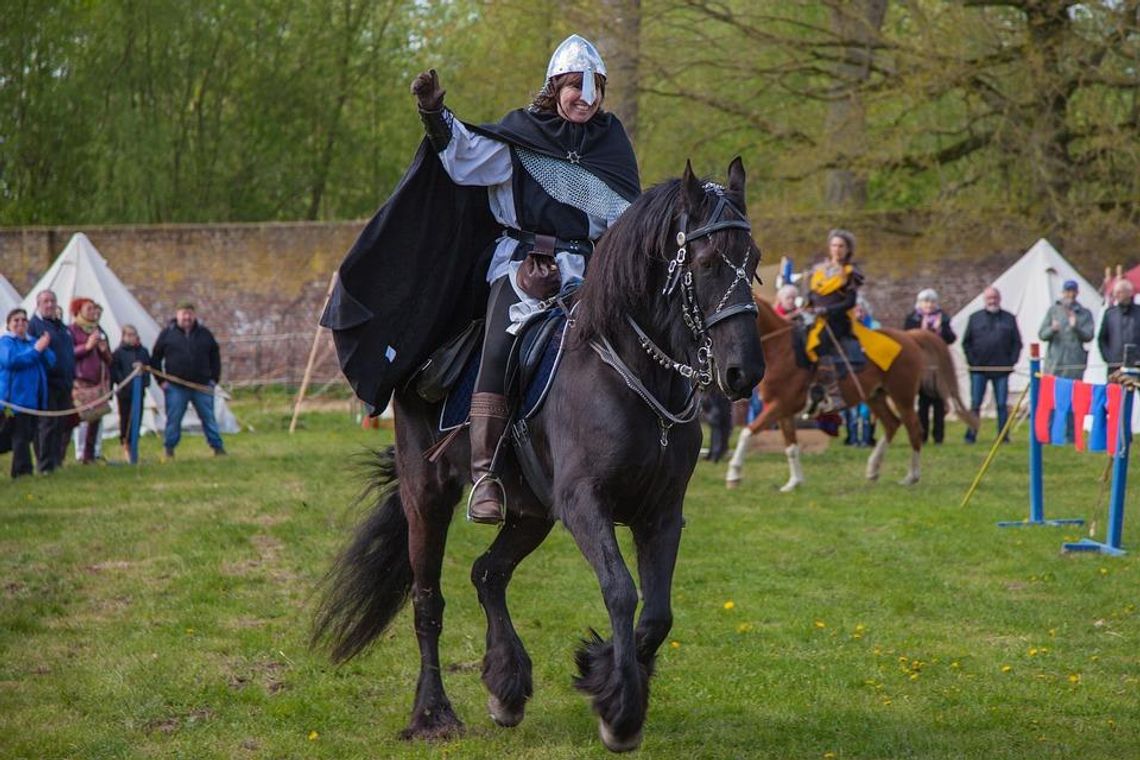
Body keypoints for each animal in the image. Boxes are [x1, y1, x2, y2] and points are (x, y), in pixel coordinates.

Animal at [312, 157, 766, 752]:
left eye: (753, 260)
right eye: (709, 261)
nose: (744, 373)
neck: (629, 373)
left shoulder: (661, 514)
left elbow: (657, 615)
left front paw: (601, 670)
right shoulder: (584, 505)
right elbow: (621, 592)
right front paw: (619, 711)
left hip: (531, 513)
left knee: (488, 573)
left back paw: (506, 685)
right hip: (427, 494)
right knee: (428, 600)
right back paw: (433, 713)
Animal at [725, 293, 975, 489]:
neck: (782, 349)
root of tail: (910, 337)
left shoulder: (780, 406)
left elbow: (747, 432)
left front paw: (734, 474)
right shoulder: (783, 410)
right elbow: (791, 446)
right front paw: (794, 482)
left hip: (902, 397)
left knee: (914, 429)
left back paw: (911, 477)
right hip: (875, 396)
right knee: (892, 424)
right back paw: (873, 470)